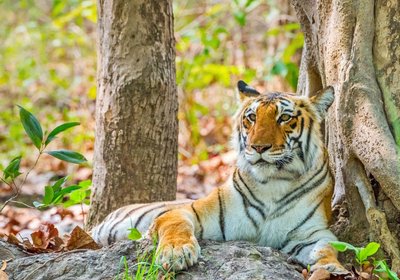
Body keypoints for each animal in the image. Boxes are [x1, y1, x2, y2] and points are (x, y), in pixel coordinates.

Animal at [91, 80, 346, 274]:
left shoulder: (312, 232)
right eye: (252, 117)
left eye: (284, 118)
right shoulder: (193, 211)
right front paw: (176, 252)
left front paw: (332, 268)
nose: (258, 147)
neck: (273, 183)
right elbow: (175, 224)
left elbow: (328, 247)